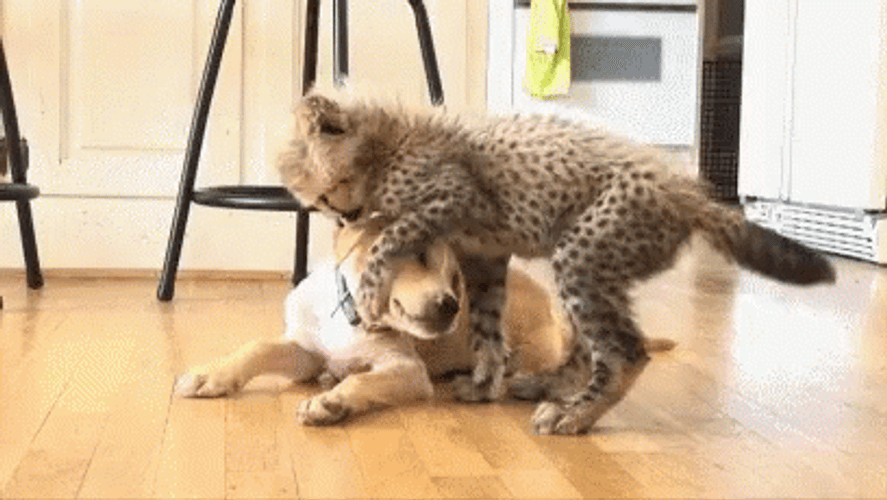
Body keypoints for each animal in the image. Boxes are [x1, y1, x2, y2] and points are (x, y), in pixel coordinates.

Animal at [277, 89, 836, 435]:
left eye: (324, 195)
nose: (344, 218)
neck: (387, 140)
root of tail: (688, 193)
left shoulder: (452, 198)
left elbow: (395, 236)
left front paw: (372, 291)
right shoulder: (486, 256)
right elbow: (487, 330)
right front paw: (485, 384)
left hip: (581, 256)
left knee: (625, 352)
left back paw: (574, 416)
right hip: (595, 275)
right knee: (588, 351)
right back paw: (540, 385)